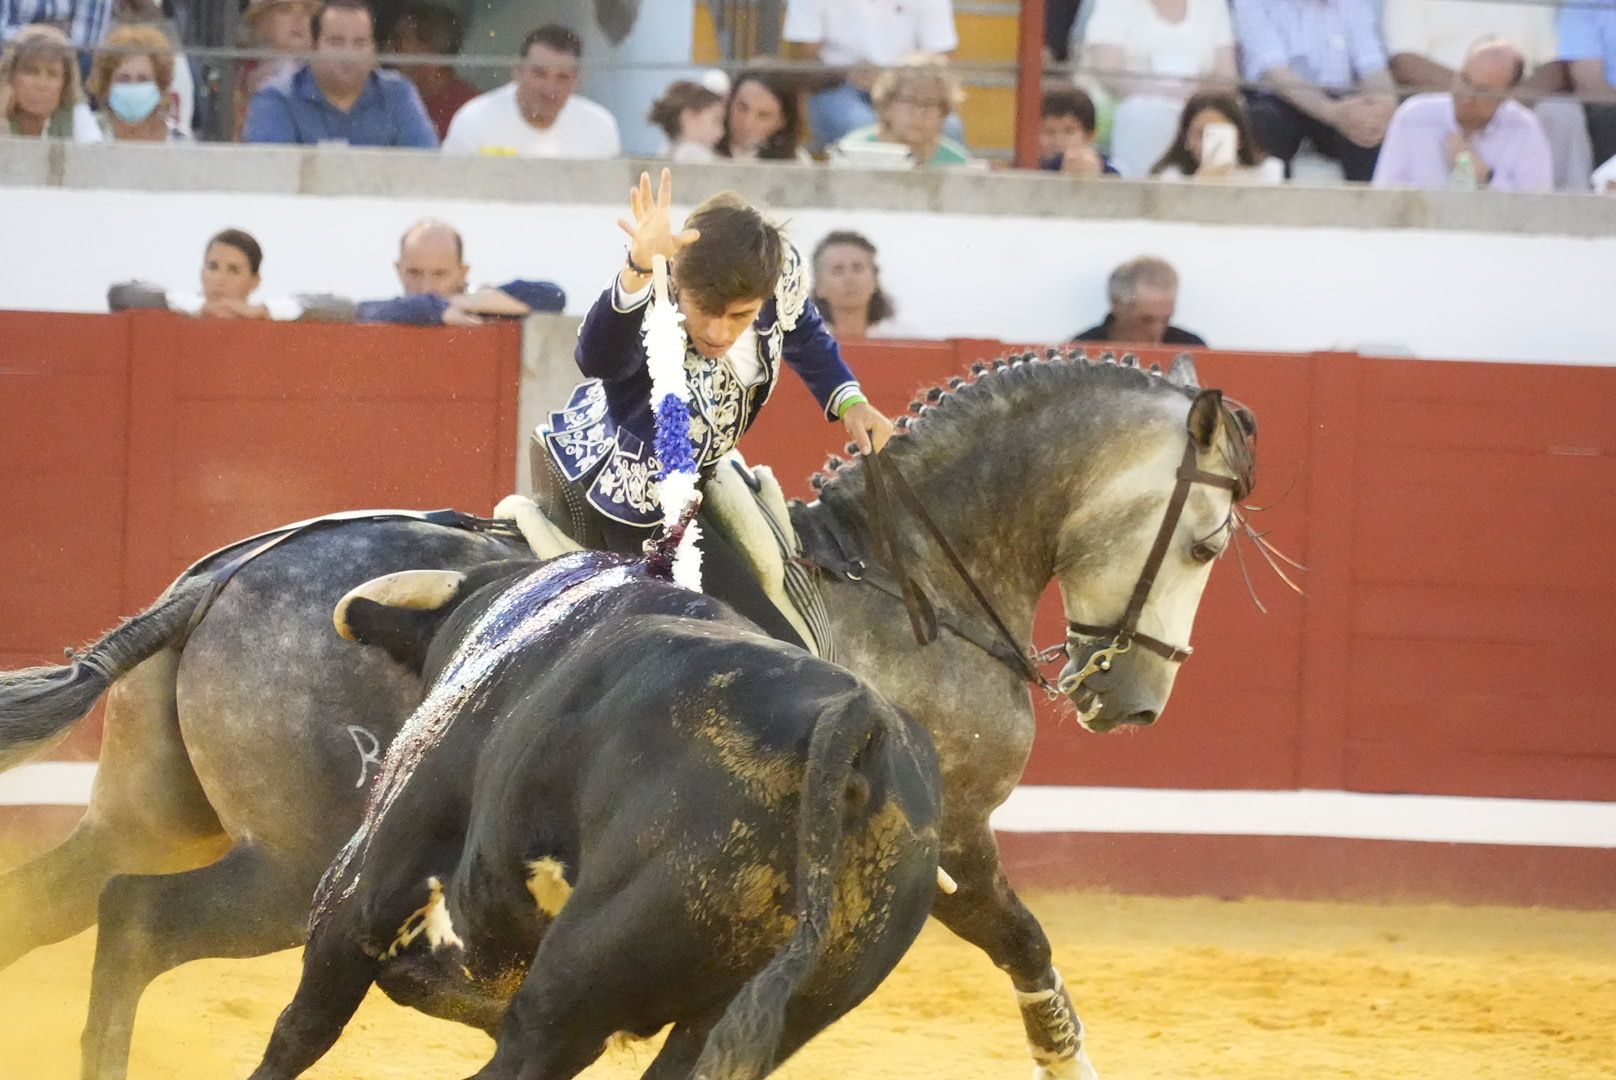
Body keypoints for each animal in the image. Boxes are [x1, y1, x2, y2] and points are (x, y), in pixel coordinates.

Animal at [245, 552, 943, 1080]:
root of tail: (859, 724)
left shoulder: (362, 890)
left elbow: (301, 1029)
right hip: (766, 1011)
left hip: (573, 984)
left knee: (522, 1052)